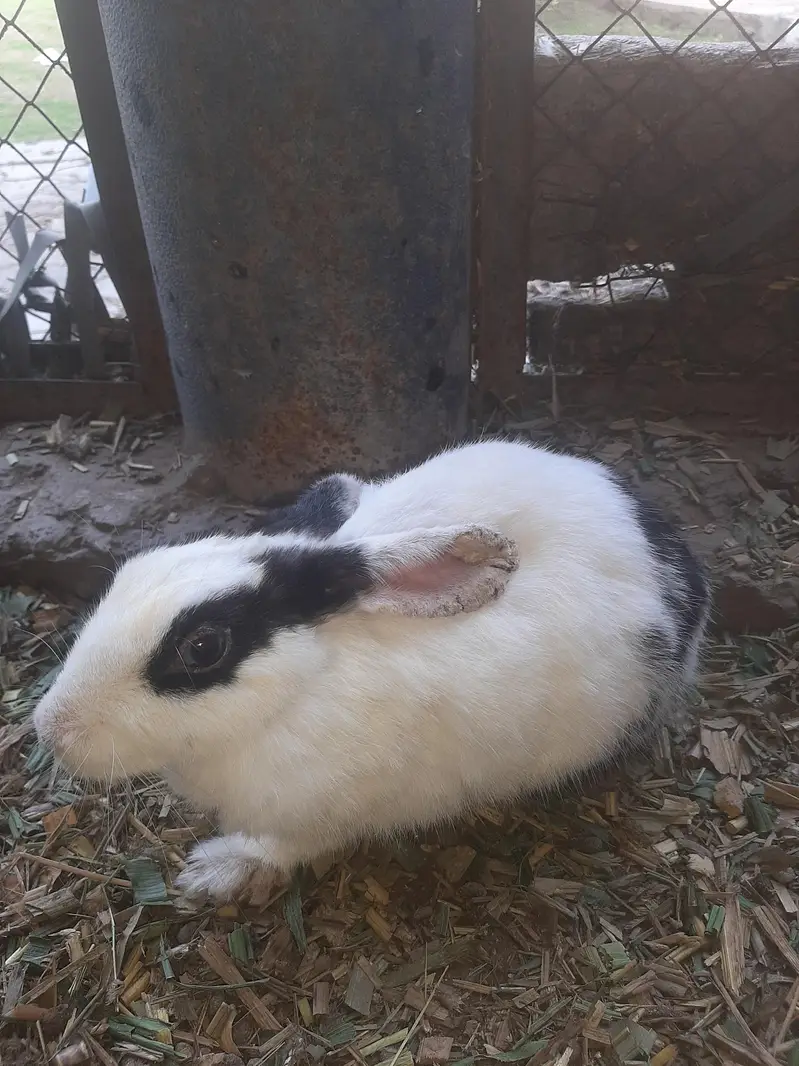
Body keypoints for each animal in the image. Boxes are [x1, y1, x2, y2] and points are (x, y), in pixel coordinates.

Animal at [34, 438, 709, 901]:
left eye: (203, 648)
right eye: (130, 572)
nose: (51, 727)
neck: (298, 692)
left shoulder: (323, 812)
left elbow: (281, 847)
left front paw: (215, 873)